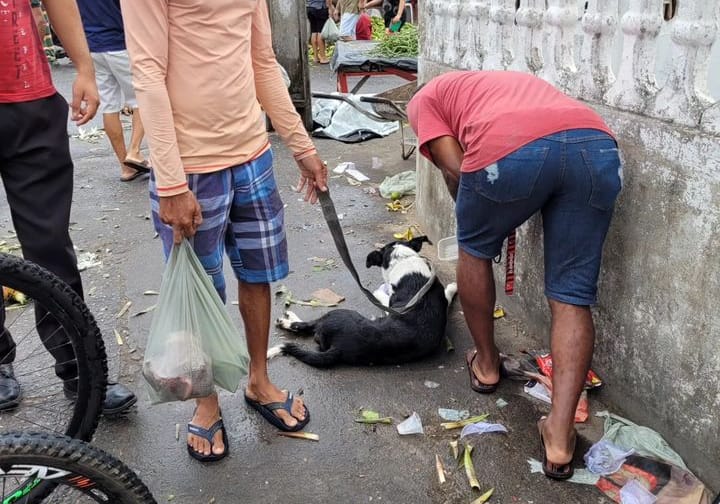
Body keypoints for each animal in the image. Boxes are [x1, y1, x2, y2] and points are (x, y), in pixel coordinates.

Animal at [270, 234, 456, 368]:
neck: (406, 263)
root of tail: (339, 347)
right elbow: (448, 294)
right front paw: (453, 287)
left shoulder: (388, 303)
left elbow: (381, 294)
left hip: (336, 313)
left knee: (305, 326)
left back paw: (287, 320)